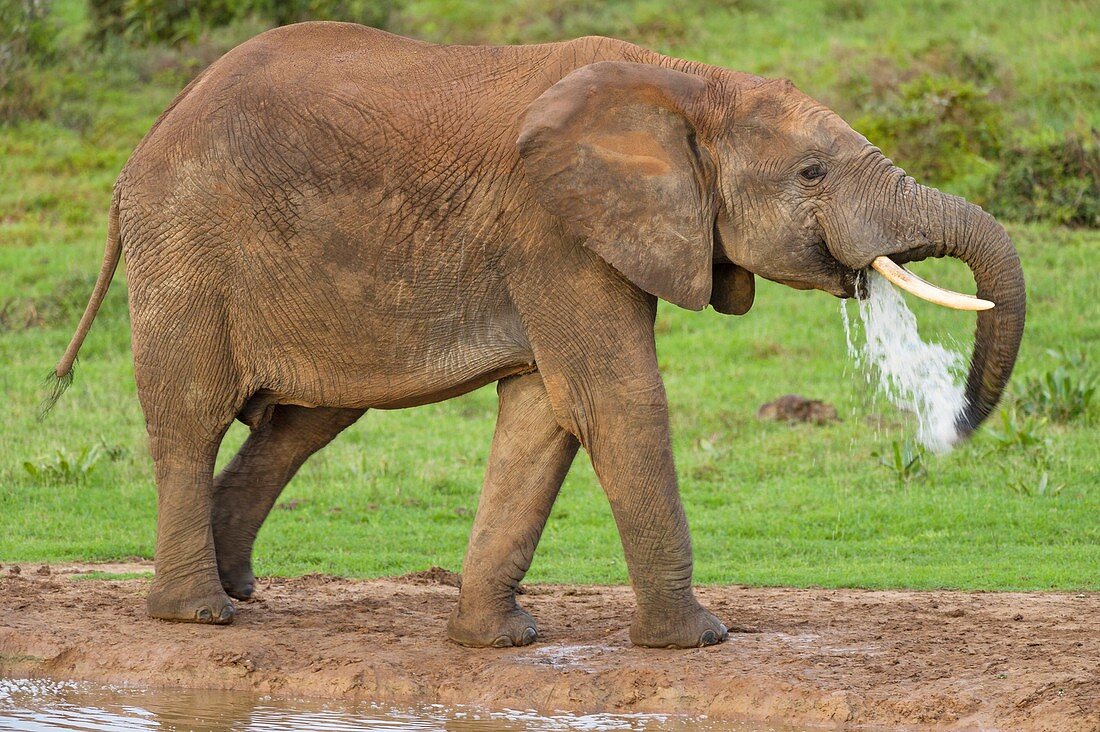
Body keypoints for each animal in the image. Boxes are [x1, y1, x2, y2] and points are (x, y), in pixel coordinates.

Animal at [55, 22, 1025, 647]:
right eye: (813, 172)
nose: (956, 423)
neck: (684, 81)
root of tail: (138, 154)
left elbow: (544, 416)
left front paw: (499, 641)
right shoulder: (553, 227)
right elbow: (616, 400)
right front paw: (699, 639)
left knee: (301, 423)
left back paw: (238, 590)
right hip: (186, 247)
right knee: (190, 416)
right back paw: (200, 615)